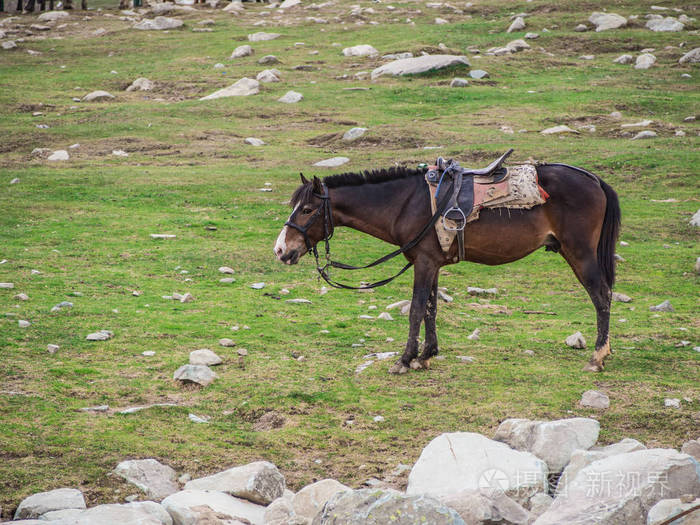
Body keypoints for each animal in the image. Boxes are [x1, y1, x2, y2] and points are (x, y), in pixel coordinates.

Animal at [276, 162, 620, 374]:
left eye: (307, 209)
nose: (281, 250)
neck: (405, 203)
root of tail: (594, 180)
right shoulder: (432, 262)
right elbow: (431, 308)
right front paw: (426, 356)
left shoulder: (424, 263)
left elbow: (416, 309)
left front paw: (404, 360)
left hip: (579, 252)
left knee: (601, 297)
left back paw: (597, 357)